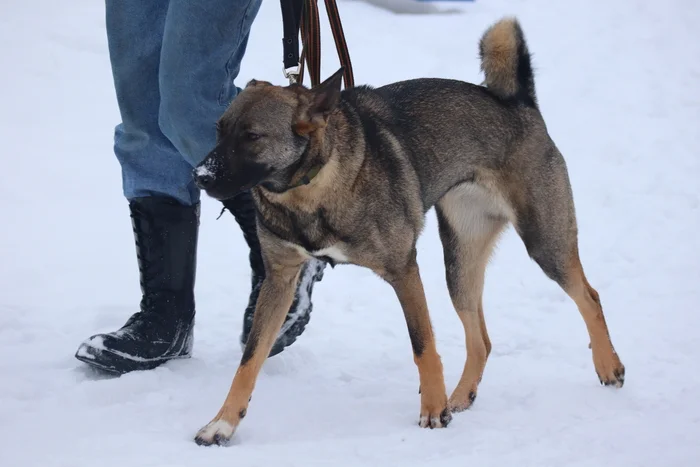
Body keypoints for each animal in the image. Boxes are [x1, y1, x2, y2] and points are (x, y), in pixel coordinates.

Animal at [190, 17, 624, 446]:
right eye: (219, 129)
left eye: (252, 136)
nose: (199, 176)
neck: (310, 188)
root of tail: (520, 103)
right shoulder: (279, 279)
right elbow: (250, 358)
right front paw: (222, 422)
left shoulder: (403, 270)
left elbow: (422, 343)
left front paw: (432, 411)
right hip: (460, 265)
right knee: (481, 340)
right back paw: (460, 396)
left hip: (544, 240)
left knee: (589, 296)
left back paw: (608, 365)